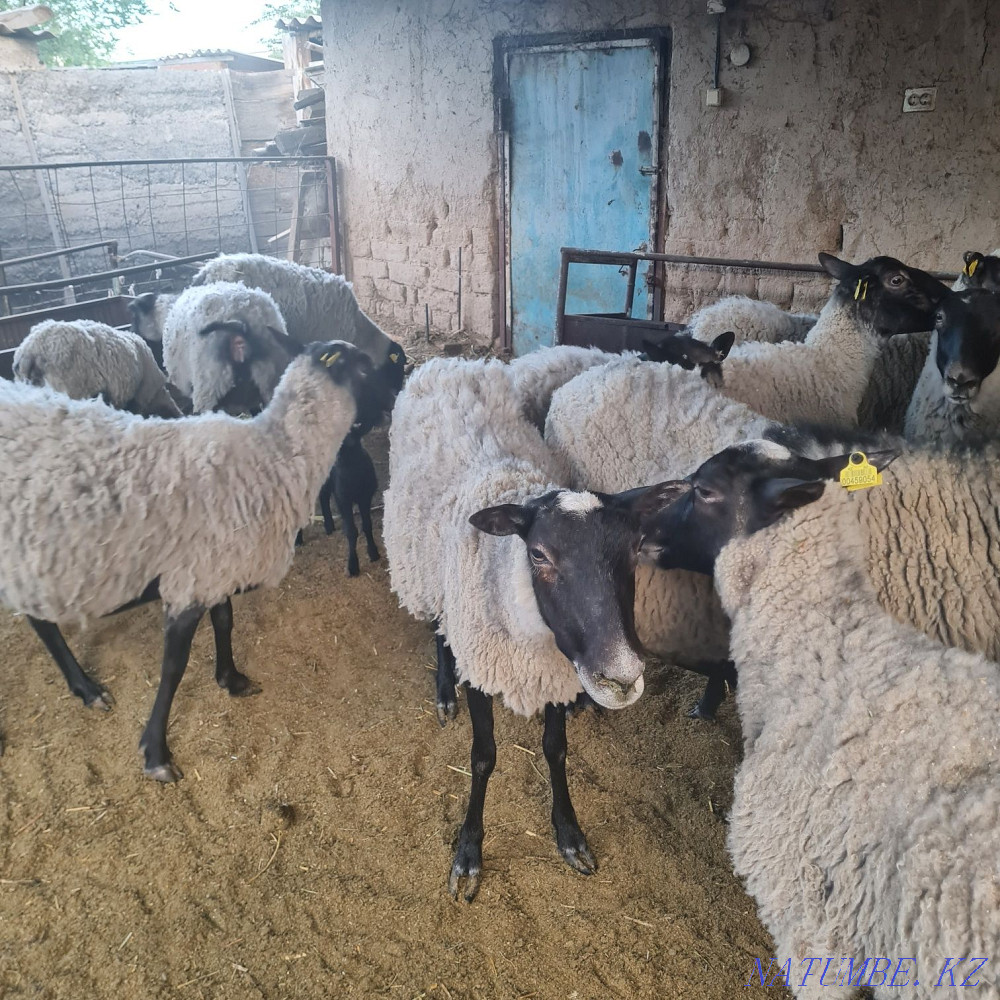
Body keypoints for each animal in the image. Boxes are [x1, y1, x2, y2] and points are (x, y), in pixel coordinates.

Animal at [0, 340, 372, 781]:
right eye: (367, 367)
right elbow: (174, 666)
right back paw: (87, 689)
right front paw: (156, 754)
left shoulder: (211, 570)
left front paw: (231, 679)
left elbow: (225, 621)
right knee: (42, 621)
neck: (273, 454)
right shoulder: (187, 583)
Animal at [319, 428, 380, 576]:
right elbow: (352, 532)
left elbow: (367, 526)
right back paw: (328, 525)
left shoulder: (365, 497)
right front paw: (353, 565)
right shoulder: (343, 499)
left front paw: (373, 553)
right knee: (323, 496)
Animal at [383, 357, 687, 901]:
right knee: (439, 628)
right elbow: (483, 757)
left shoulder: (559, 674)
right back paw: (443, 690)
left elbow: (555, 750)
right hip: (424, 567)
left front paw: (569, 834)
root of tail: (450, 359)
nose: (623, 678)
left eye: (635, 548)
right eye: (540, 554)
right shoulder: (482, 667)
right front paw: (468, 852)